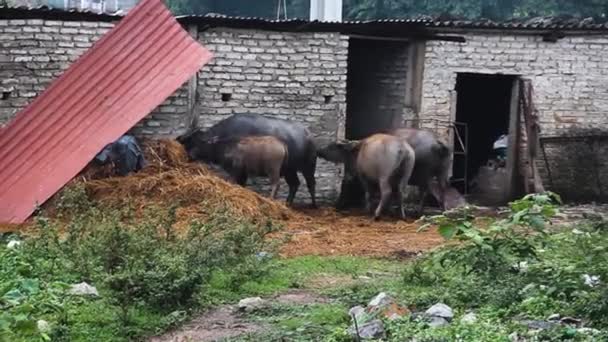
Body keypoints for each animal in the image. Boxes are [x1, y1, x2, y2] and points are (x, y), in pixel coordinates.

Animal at [176, 113, 318, 207]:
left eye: (195, 141)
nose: (188, 155)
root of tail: (308, 134)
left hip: (308, 166)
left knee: (311, 184)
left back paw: (313, 205)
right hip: (289, 170)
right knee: (294, 184)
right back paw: (288, 203)